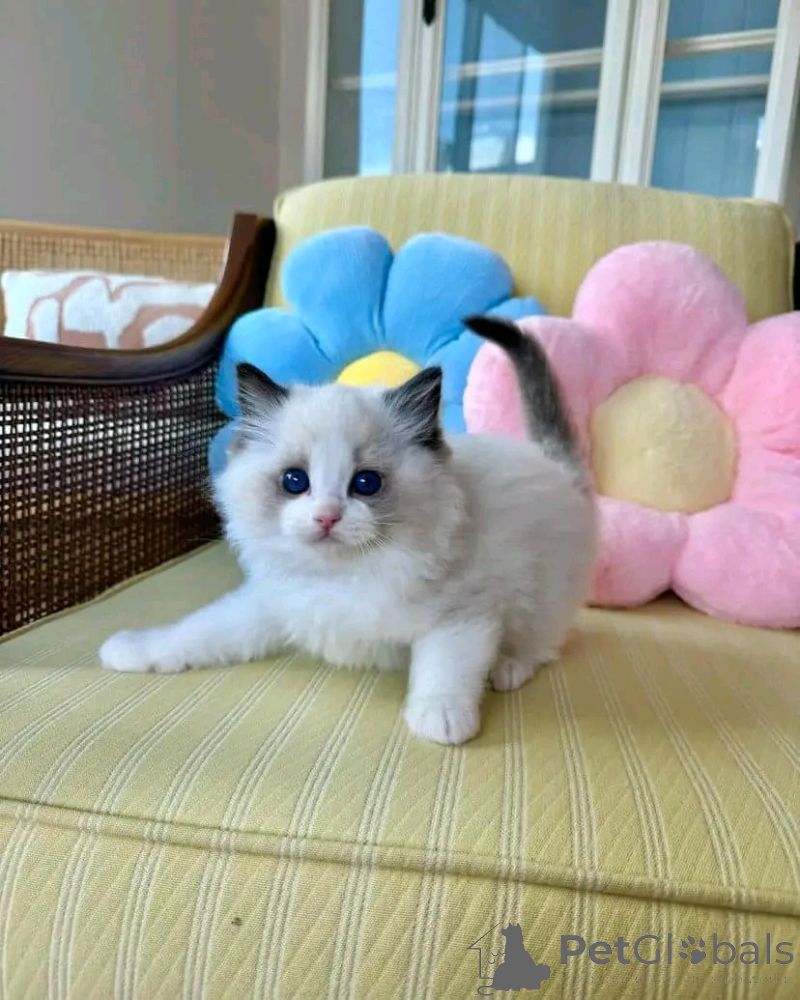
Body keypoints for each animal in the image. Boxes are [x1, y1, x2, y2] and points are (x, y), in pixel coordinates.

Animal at [99, 315, 596, 745]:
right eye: (294, 481)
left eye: (366, 483)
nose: (326, 517)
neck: (343, 577)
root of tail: (554, 462)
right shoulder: (274, 603)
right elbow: (196, 632)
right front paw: (132, 649)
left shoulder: (464, 615)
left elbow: (445, 668)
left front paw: (441, 718)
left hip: (544, 592)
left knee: (542, 643)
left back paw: (507, 668)